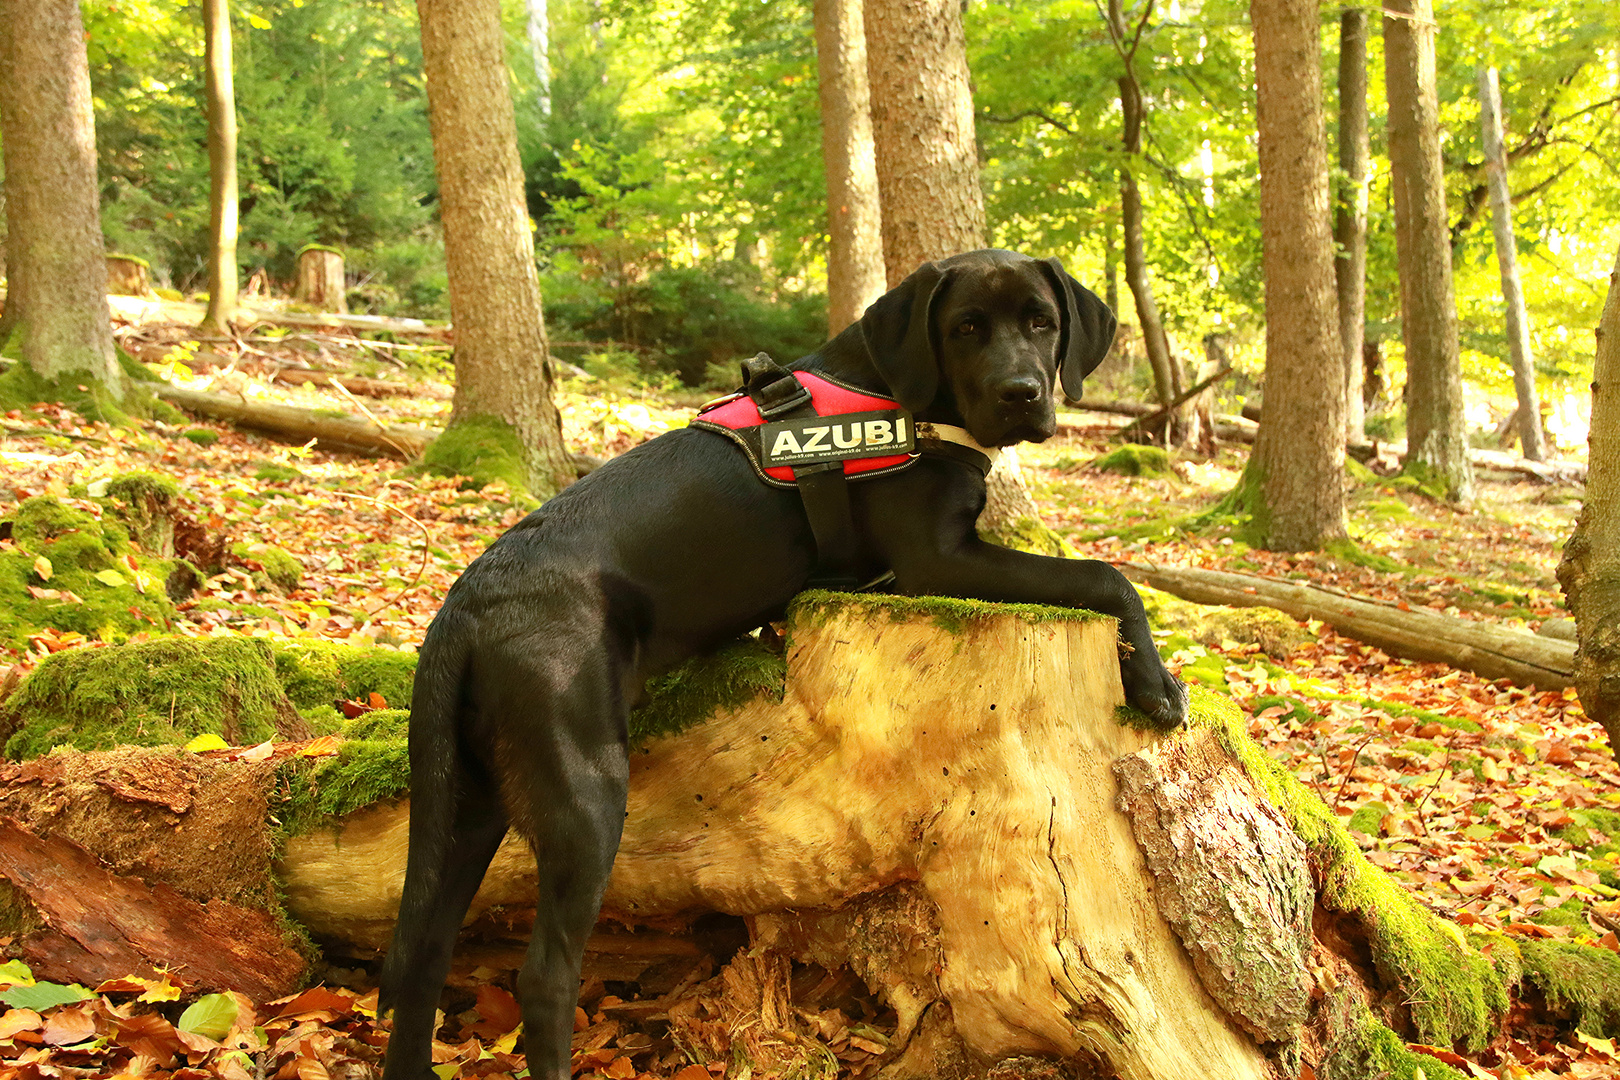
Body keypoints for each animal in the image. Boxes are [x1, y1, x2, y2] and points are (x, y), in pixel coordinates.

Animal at [379, 249, 1192, 1080]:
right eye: (966, 329)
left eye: (1043, 323)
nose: (1021, 392)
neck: (905, 401)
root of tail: (464, 609)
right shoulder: (937, 558)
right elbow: (1105, 574)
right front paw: (1156, 683)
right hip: (583, 791)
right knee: (544, 977)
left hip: (470, 801)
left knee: (421, 956)